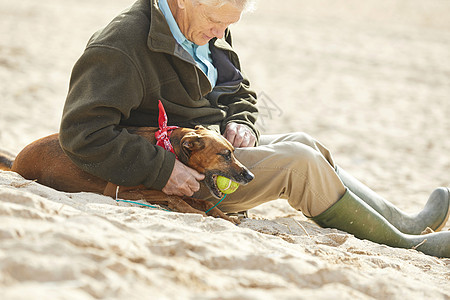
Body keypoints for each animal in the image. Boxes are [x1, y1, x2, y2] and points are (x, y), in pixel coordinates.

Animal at [0, 125, 253, 223]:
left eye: (233, 151)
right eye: (225, 155)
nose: (250, 176)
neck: (170, 148)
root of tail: (15, 161)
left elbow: (203, 201)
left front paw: (225, 217)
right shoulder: (120, 191)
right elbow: (173, 197)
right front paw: (195, 213)